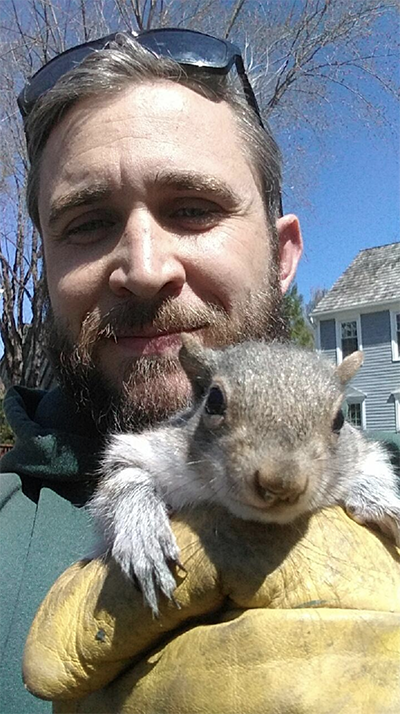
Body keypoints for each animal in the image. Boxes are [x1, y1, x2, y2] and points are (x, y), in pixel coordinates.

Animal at [90, 336, 400, 614]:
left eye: (340, 420)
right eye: (214, 400)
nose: (282, 483)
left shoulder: (362, 455)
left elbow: (374, 471)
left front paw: (384, 503)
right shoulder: (145, 451)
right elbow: (124, 482)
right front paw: (144, 536)